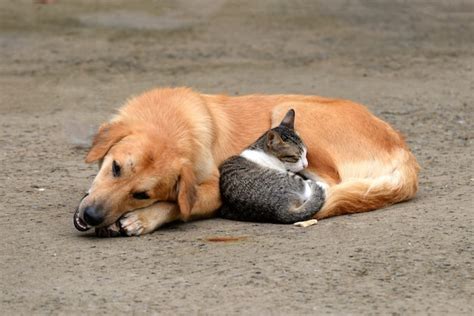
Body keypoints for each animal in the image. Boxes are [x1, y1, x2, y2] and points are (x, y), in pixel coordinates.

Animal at [73, 87, 418, 237]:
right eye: (115, 168)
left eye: (142, 195)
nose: (90, 216)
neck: (170, 120)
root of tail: (402, 147)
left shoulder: (213, 189)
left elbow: (177, 205)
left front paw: (141, 219)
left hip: (287, 111)